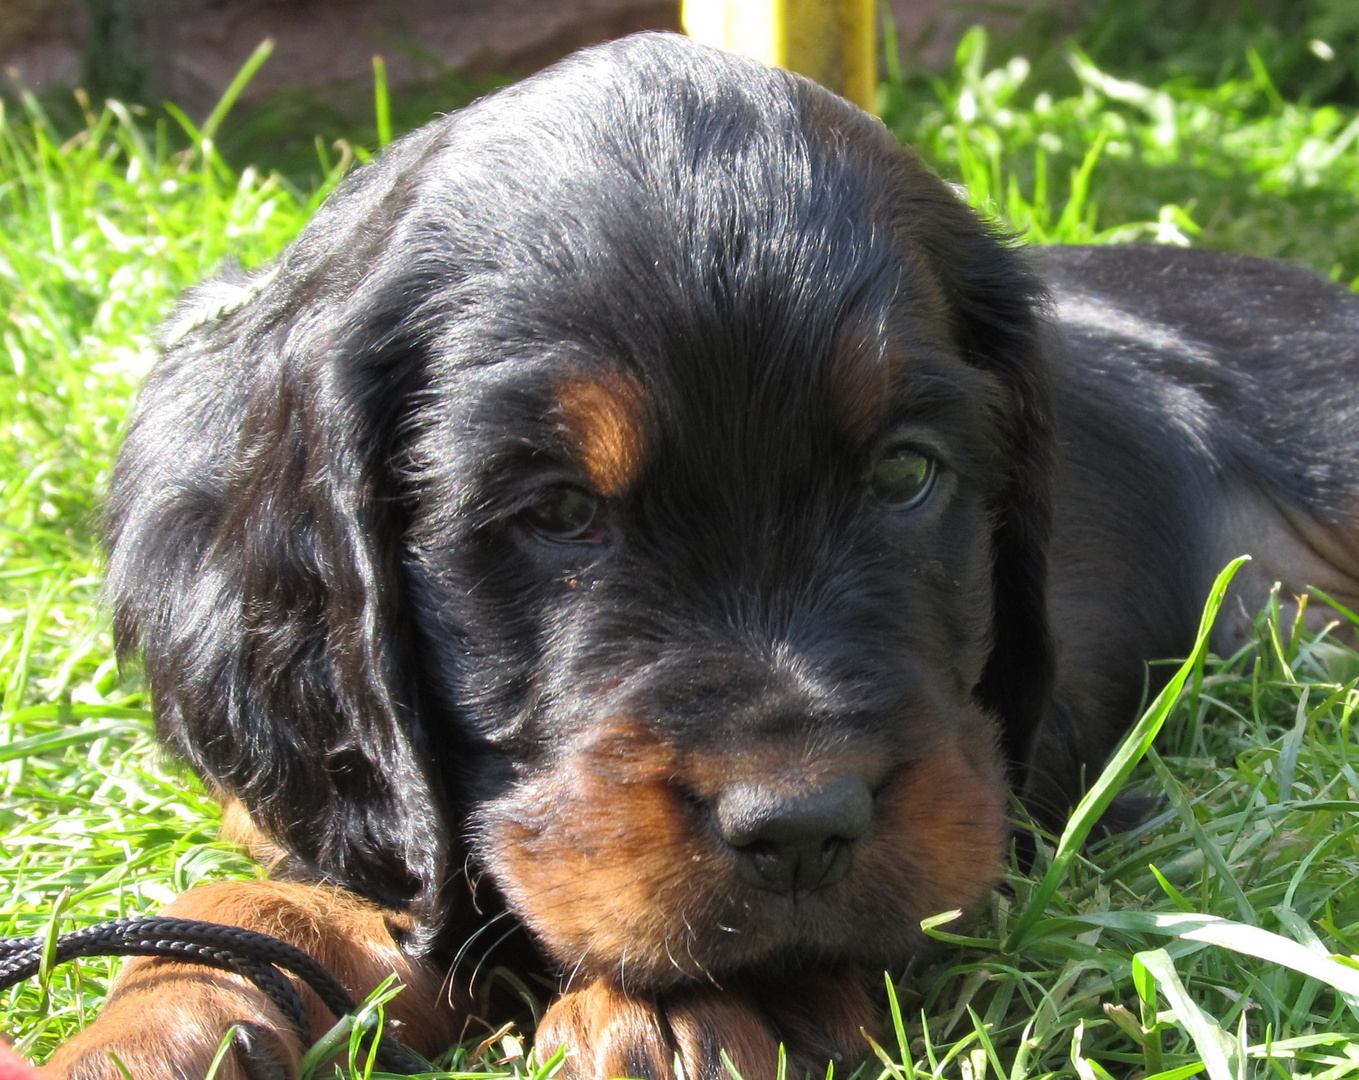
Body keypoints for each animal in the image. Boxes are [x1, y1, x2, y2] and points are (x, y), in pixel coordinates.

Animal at [47, 29, 1359, 1080]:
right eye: (558, 511)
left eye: (904, 475)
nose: (802, 828)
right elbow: (257, 895)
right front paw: (144, 1032)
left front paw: (718, 997)